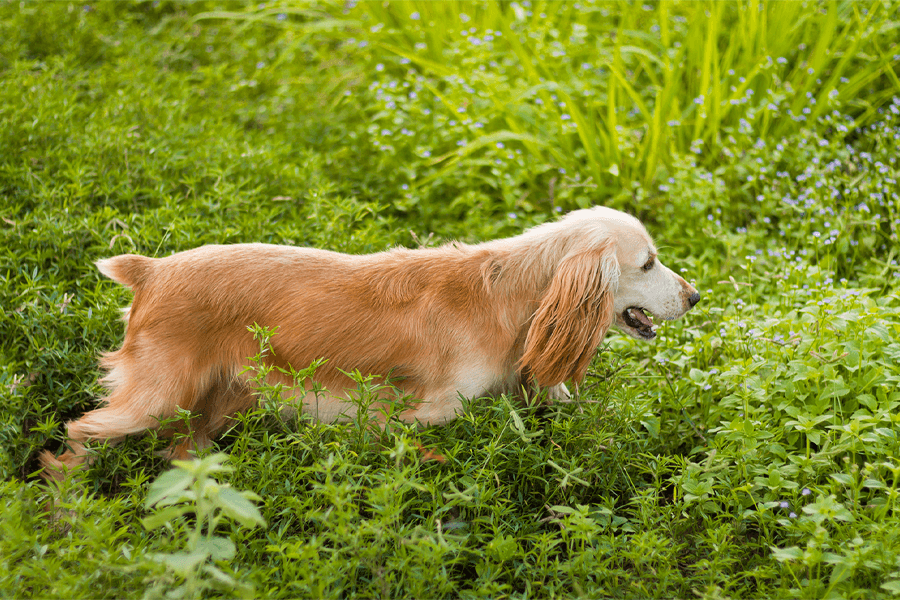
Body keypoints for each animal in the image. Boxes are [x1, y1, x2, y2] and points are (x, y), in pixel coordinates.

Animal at [38, 205, 700, 478]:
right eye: (648, 263)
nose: (695, 296)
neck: (510, 296)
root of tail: (151, 270)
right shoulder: (417, 418)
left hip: (213, 405)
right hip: (155, 399)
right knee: (75, 436)